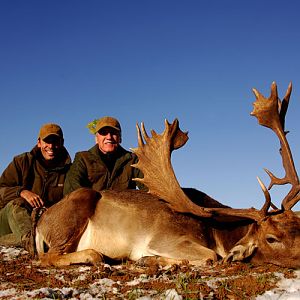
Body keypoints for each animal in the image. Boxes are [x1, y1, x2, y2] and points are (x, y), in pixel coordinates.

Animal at [34, 81, 300, 268]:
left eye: (299, 227)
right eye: (271, 238)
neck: (217, 232)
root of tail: (40, 224)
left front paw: (151, 261)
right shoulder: (164, 239)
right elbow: (211, 256)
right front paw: (150, 260)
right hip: (78, 206)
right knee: (48, 257)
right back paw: (97, 256)